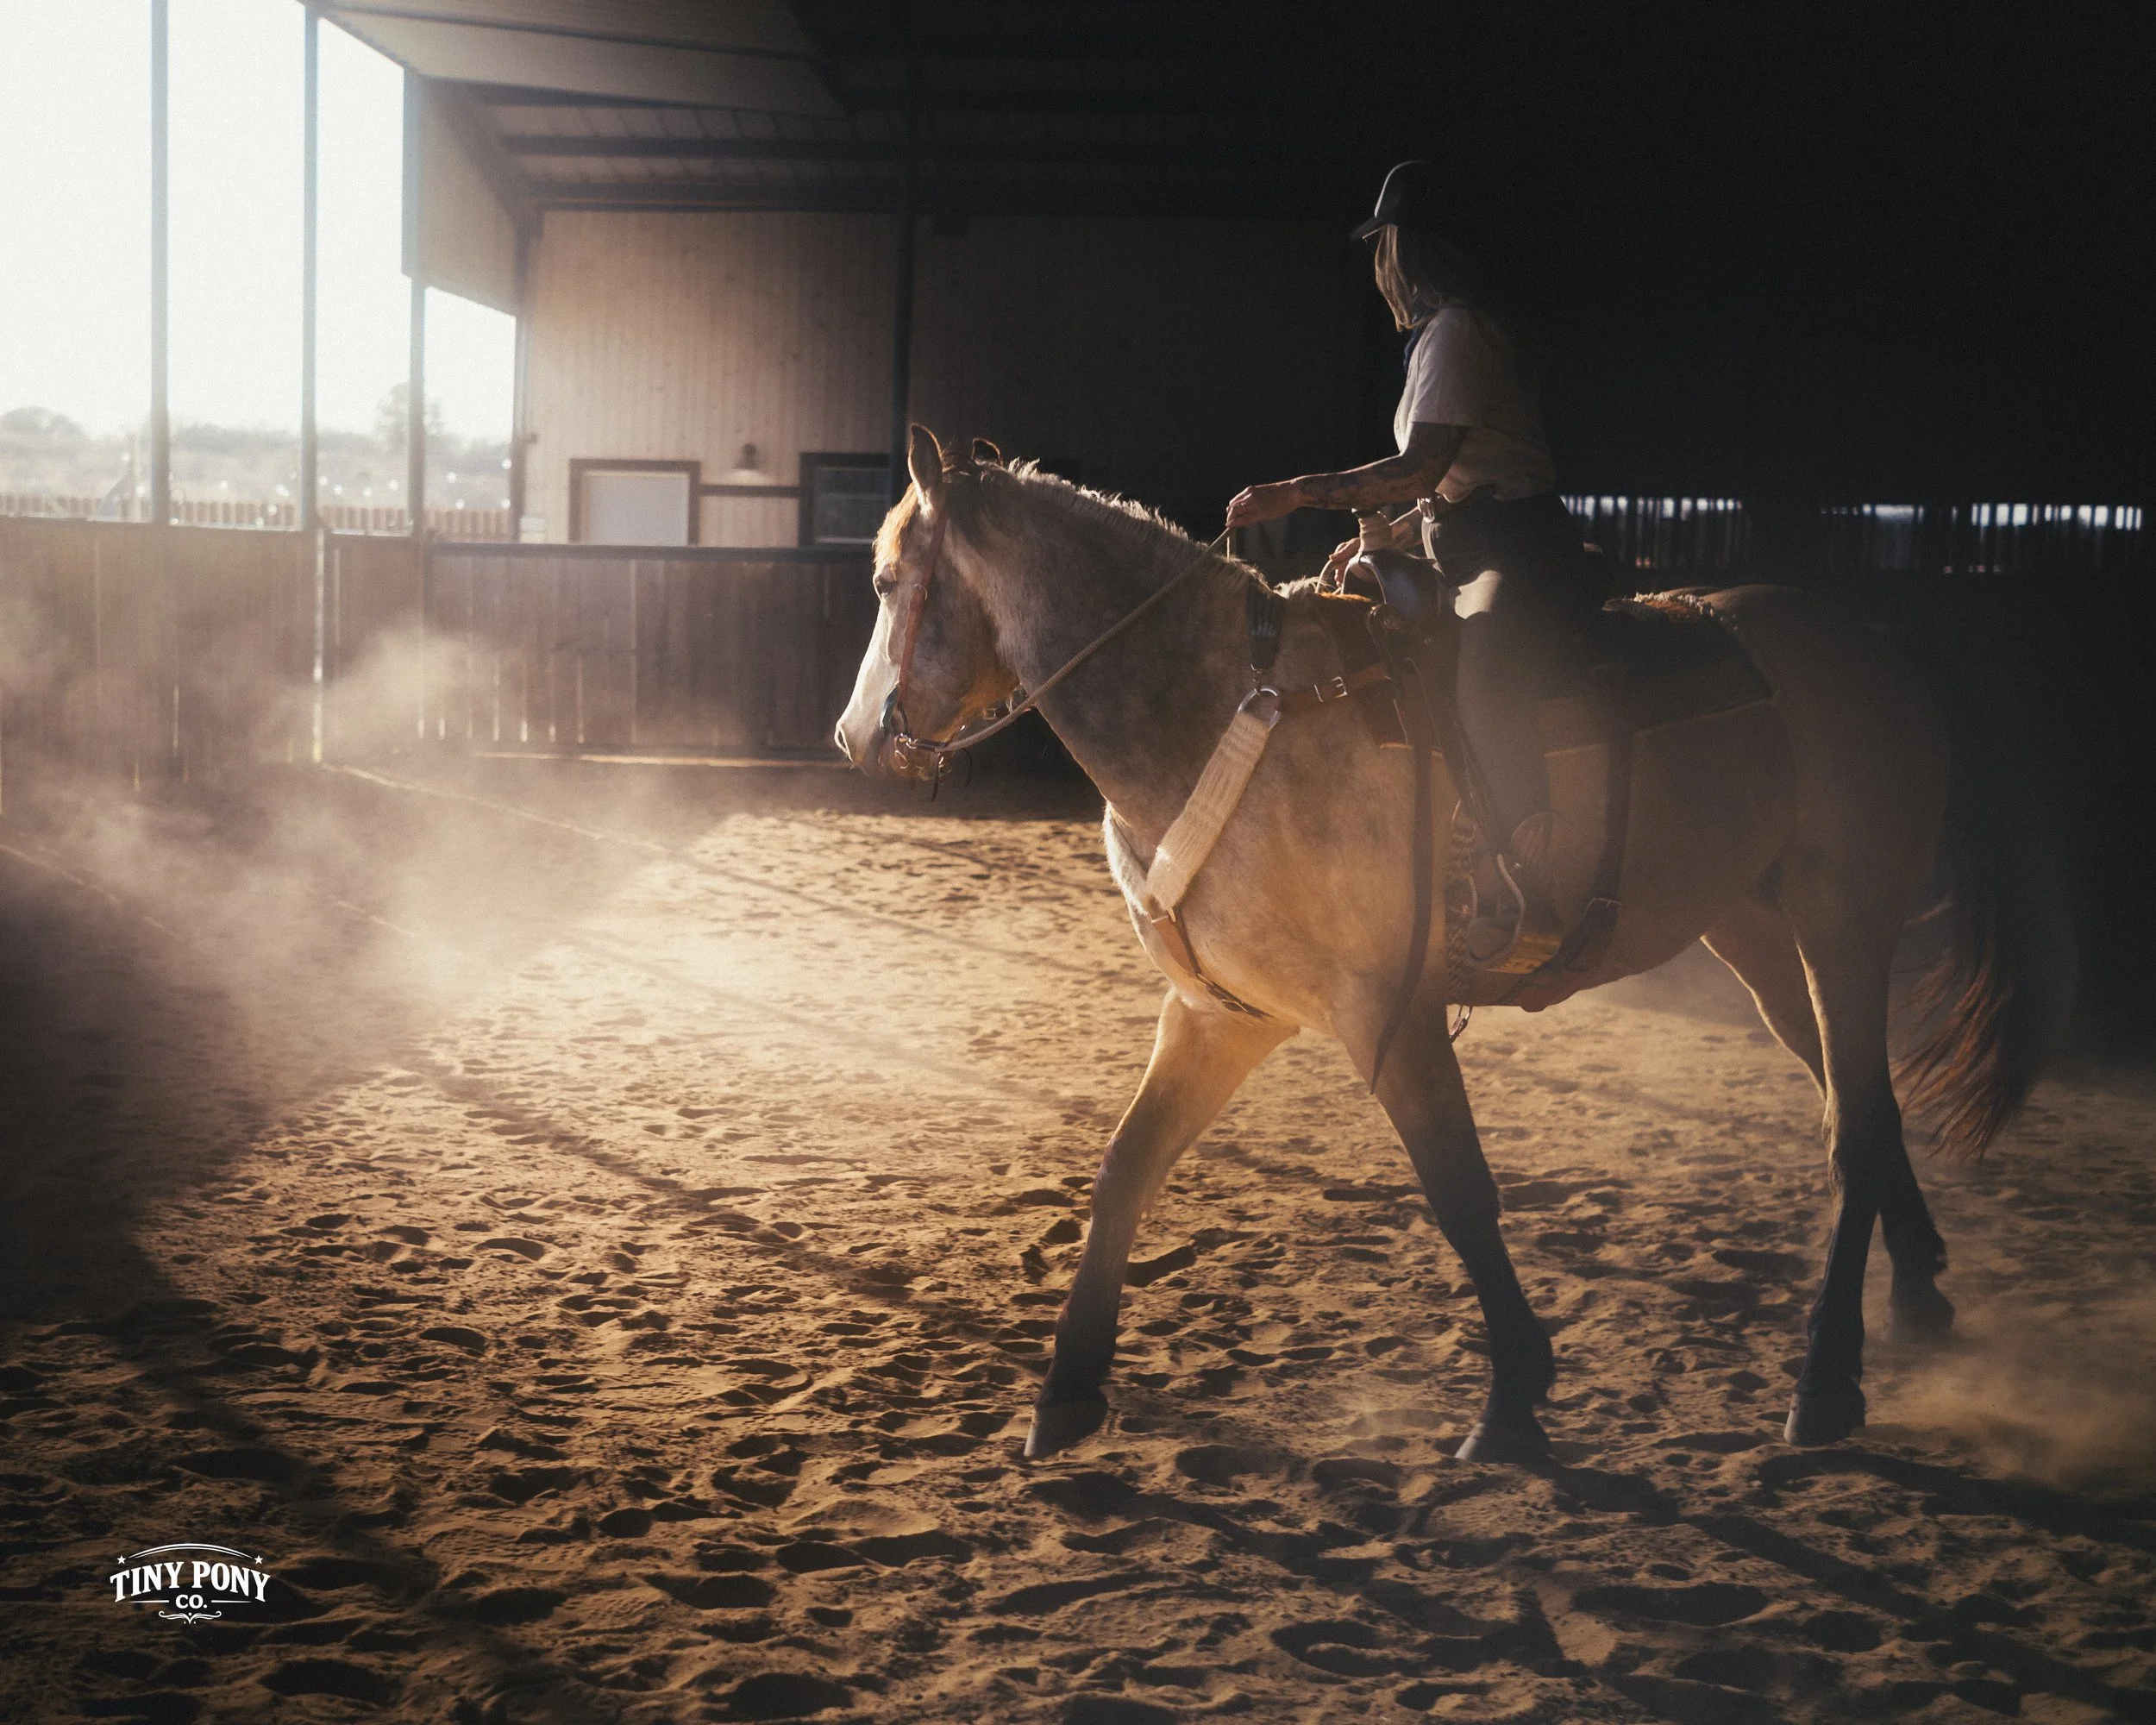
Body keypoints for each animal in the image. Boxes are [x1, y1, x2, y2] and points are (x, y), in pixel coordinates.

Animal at [835, 426, 2071, 1464]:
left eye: (890, 583)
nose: (854, 740)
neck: (1226, 712)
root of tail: (1871, 644)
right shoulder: (1222, 1017)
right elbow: (1125, 1170)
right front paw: (1066, 1389)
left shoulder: (1388, 1018)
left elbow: (1461, 1191)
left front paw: (1515, 1395)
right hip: (1761, 938)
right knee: (1863, 1108)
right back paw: (1918, 1300)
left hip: (1843, 924)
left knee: (1854, 1132)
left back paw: (1825, 1382)